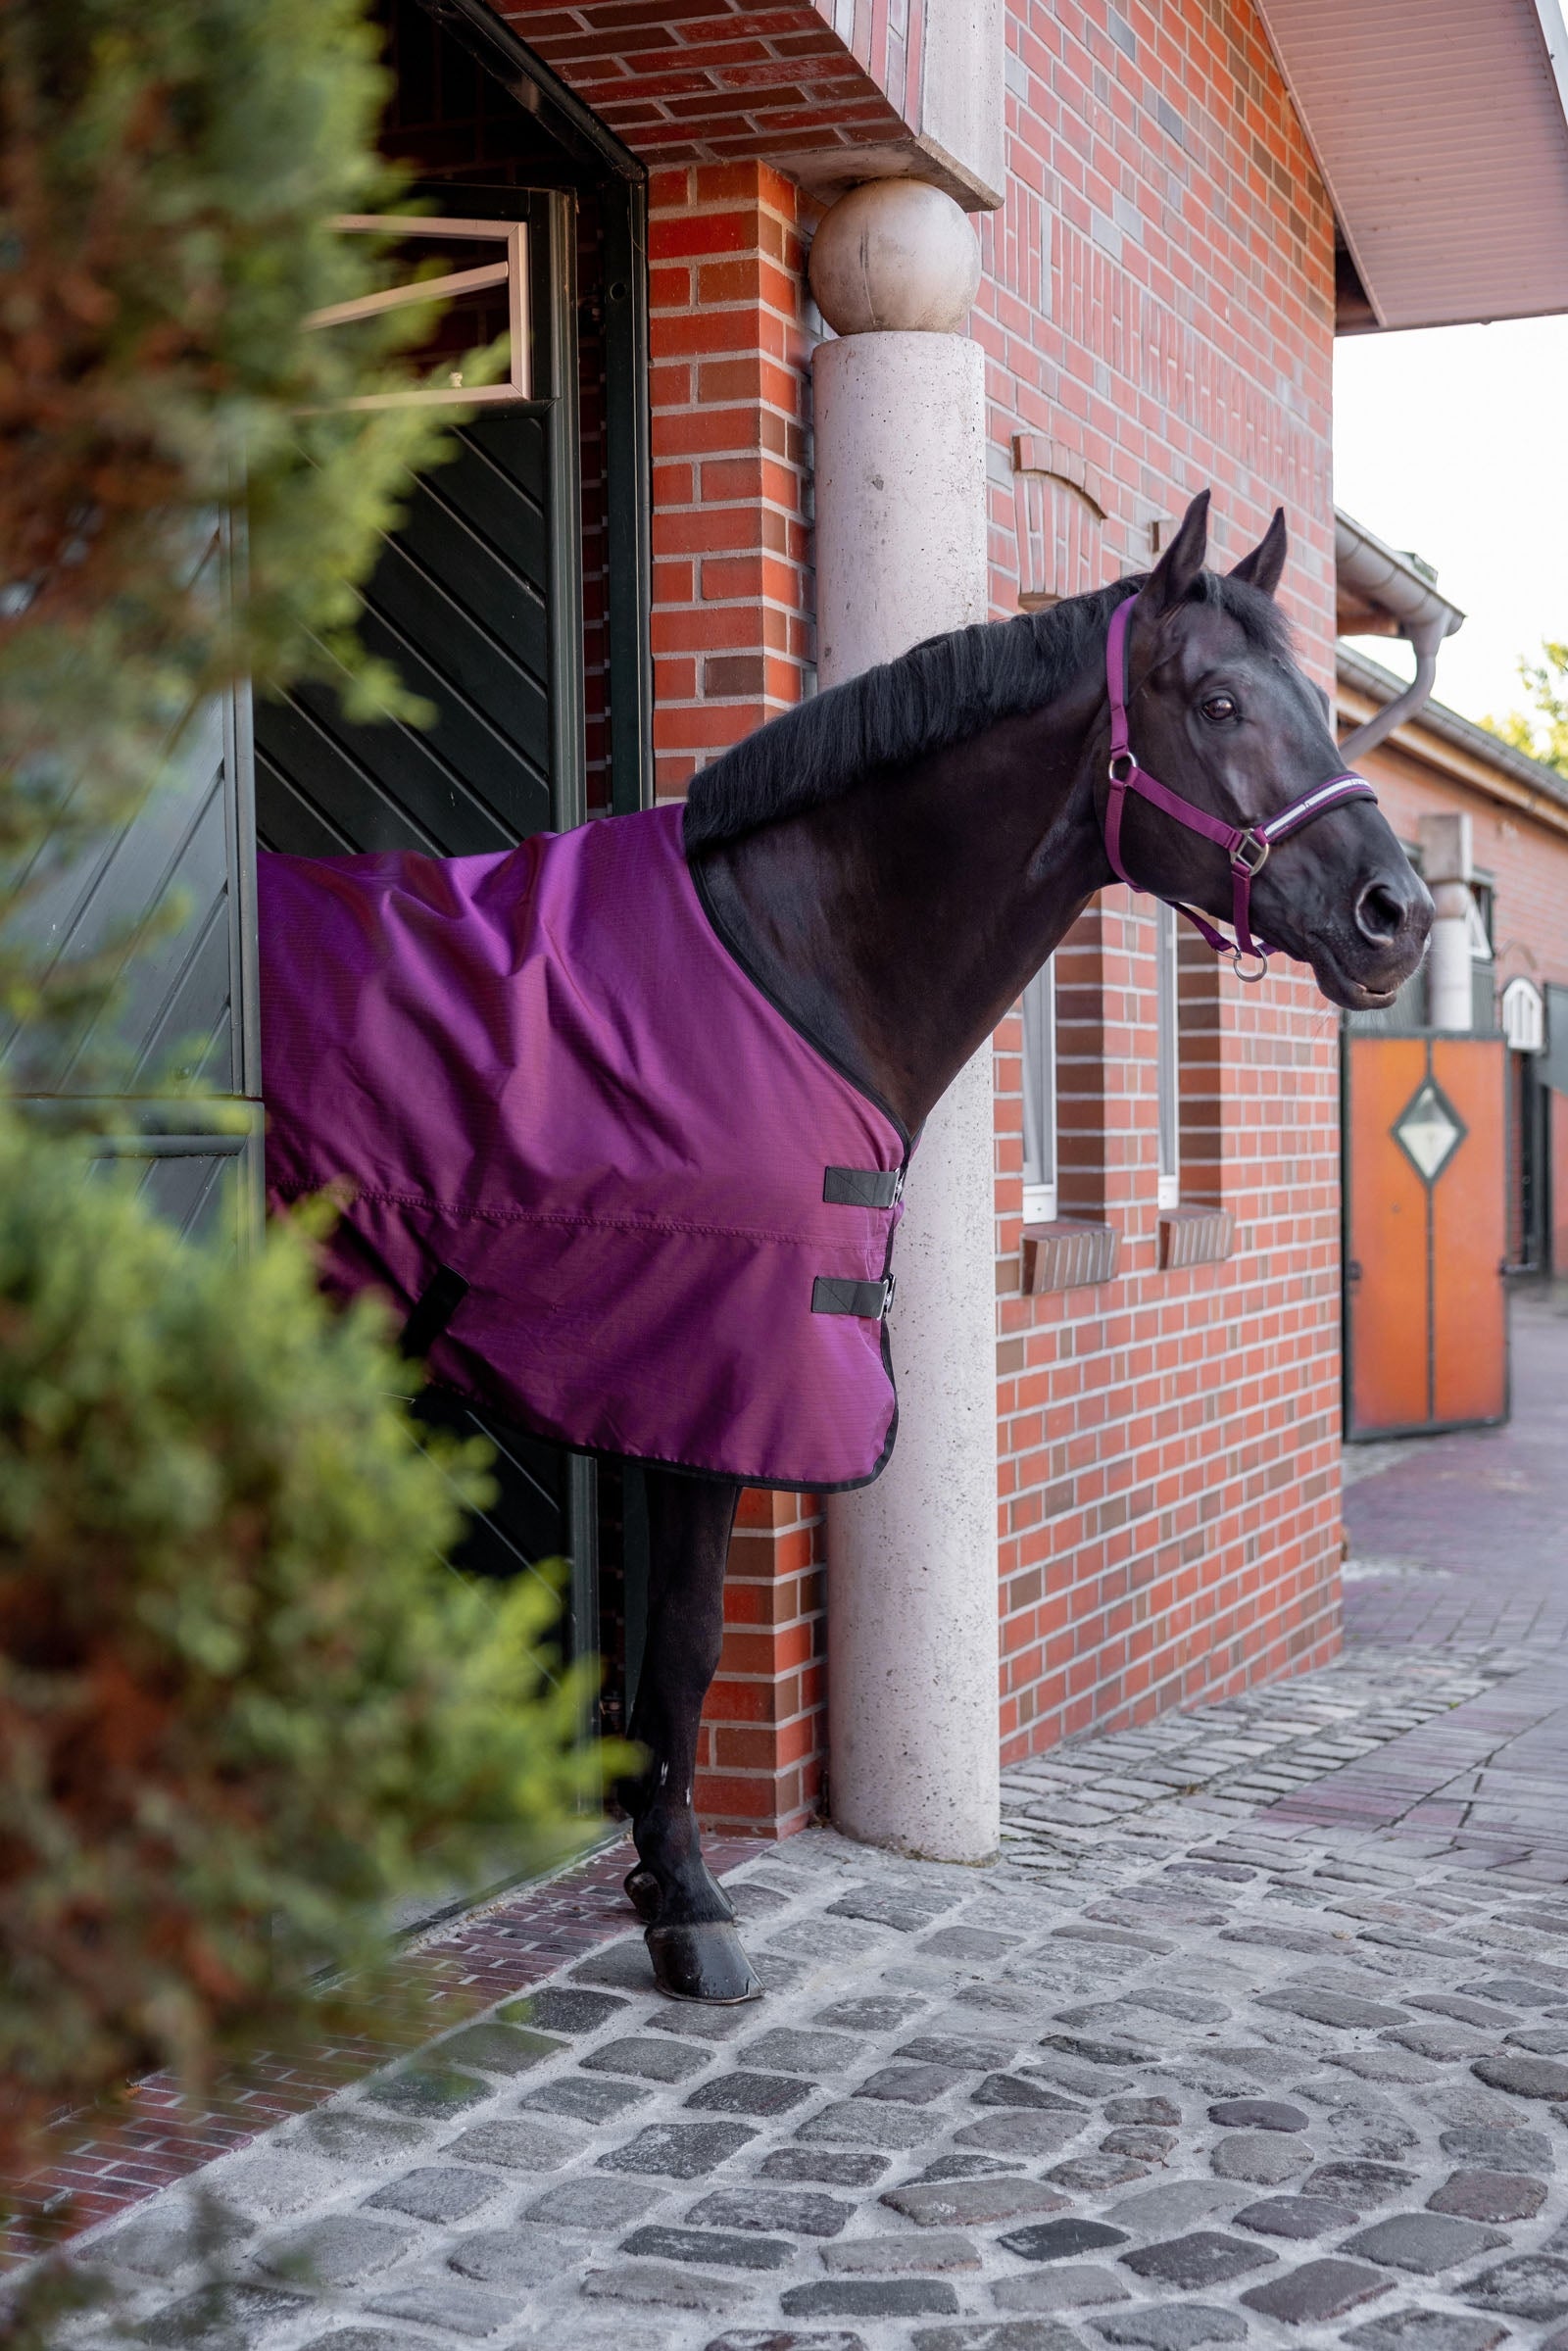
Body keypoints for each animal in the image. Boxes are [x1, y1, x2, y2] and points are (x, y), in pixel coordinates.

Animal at [260, 491, 1432, 2004]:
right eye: (1220, 700)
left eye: (1317, 702)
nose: (1396, 914)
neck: (784, 956)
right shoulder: (701, 1378)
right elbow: (687, 1644)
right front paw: (688, 1907)